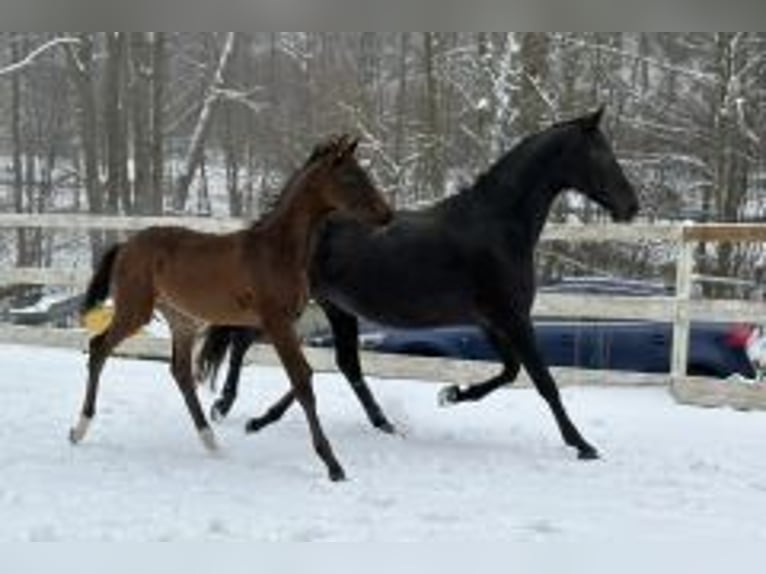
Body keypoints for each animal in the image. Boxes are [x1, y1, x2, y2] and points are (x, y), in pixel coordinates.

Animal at [68, 135, 392, 482]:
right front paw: (332, 464)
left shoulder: (281, 324)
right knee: (98, 348)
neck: (278, 251)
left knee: (180, 372)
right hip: (135, 310)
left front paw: (257, 420)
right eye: (350, 178)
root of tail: (125, 245)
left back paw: (211, 441)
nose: (387, 215)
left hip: (182, 320)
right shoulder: (276, 322)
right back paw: (79, 429)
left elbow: (306, 373)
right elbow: (302, 381)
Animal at [198, 108, 640, 460]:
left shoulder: (492, 321)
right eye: (600, 153)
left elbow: (510, 372)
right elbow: (545, 382)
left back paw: (365, 422)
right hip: (298, 306)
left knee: (343, 363)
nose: (632, 206)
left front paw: (452, 394)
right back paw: (226, 405)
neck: (499, 225)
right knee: (245, 342)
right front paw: (583, 445)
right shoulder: (512, 318)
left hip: (337, 308)